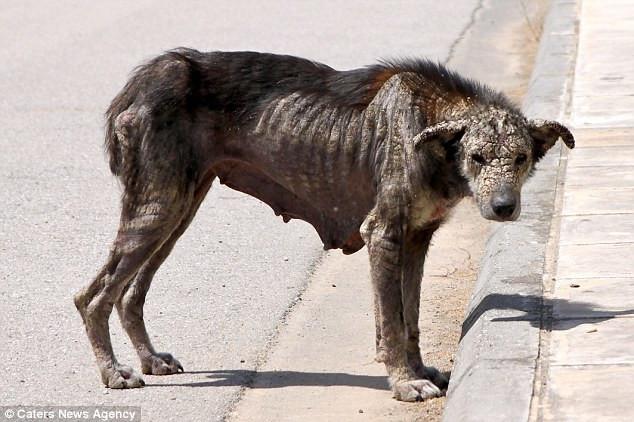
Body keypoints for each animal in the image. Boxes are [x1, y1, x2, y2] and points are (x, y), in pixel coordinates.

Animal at [74, 47, 572, 400]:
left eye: (521, 158)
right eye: (477, 157)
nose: (504, 207)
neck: (431, 130)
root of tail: (151, 76)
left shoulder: (416, 238)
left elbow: (409, 318)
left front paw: (419, 371)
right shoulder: (384, 234)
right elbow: (392, 324)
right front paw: (403, 382)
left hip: (178, 212)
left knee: (129, 294)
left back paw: (149, 359)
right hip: (158, 210)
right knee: (91, 297)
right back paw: (112, 372)